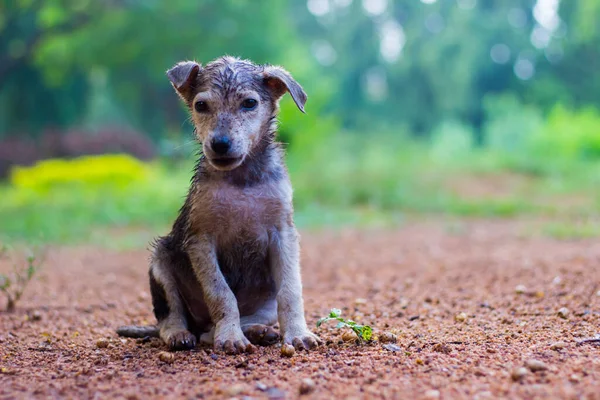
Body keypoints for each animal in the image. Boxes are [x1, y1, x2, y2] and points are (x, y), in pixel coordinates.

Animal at [118, 55, 324, 354]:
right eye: (201, 105)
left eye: (249, 103)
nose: (220, 144)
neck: (241, 181)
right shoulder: (200, 239)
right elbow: (221, 293)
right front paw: (230, 337)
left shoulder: (283, 233)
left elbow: (290, 291)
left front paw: (298, 333)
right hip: (161, 264)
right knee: (174, 319)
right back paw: (182, 334)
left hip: (265, 303)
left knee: (220, 327)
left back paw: (258, 331)